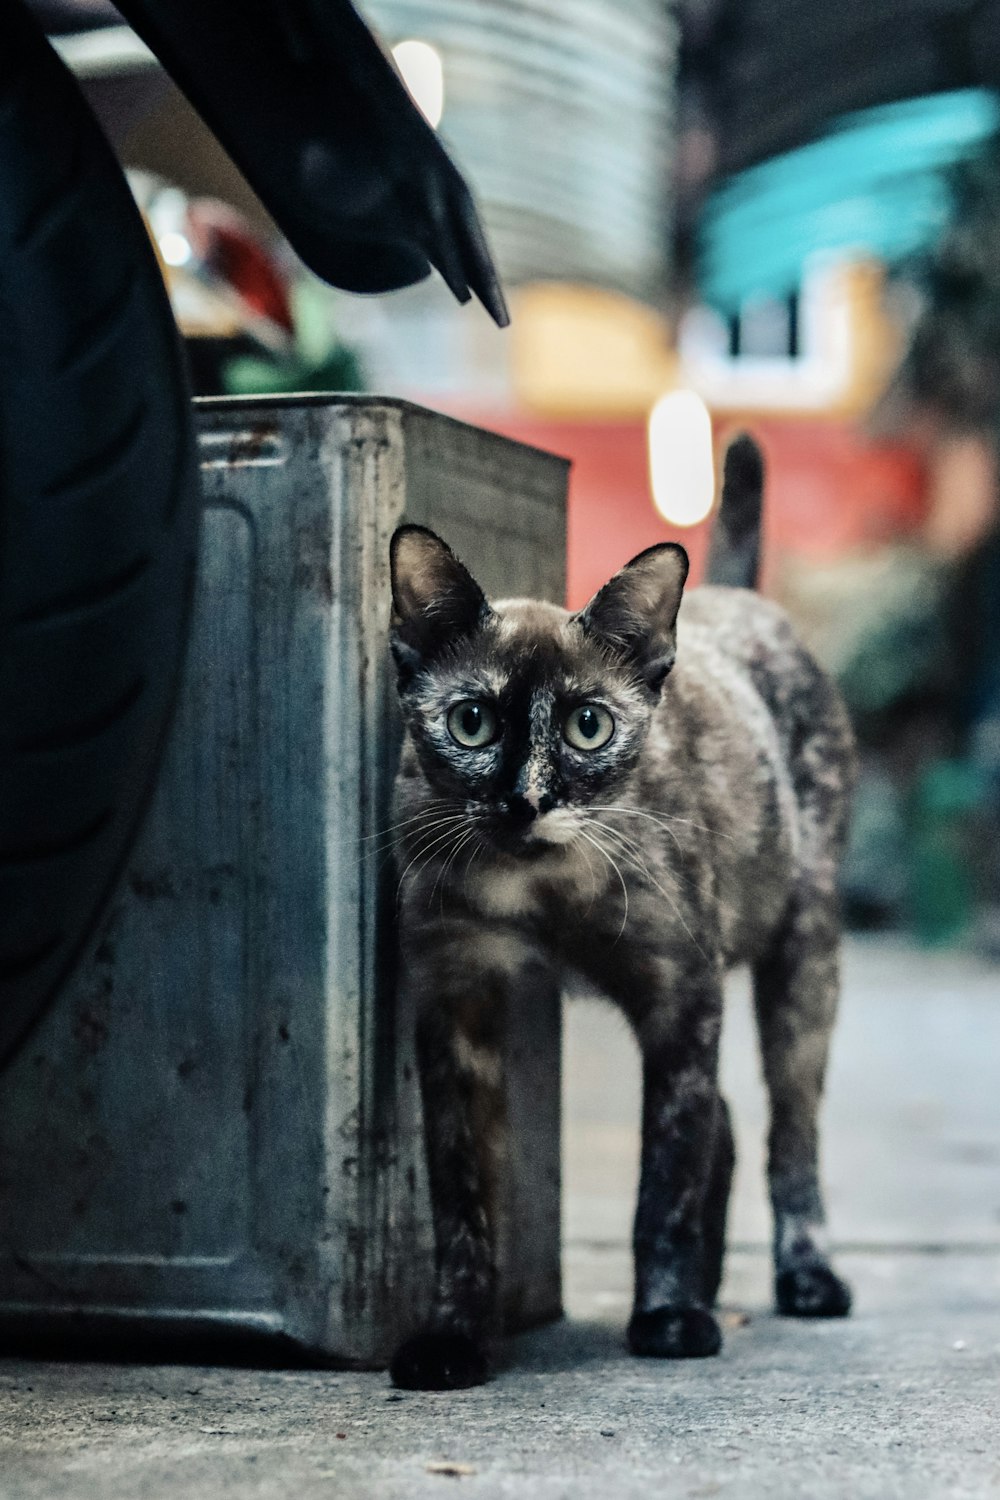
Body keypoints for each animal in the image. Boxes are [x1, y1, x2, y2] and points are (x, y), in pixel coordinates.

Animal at [386, 438, 857, 1392]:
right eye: (472, 721)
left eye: (589, 726)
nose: (525, 800)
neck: (540, 888)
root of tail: (734, 597)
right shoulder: (455, 999)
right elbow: (462, 1194)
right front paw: (455, 1335)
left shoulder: (680, 991)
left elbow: (664, 1173)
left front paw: (668, 1316)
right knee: (726, 1123)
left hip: (804, 957)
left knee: (790, 1132)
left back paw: (804, 1275)